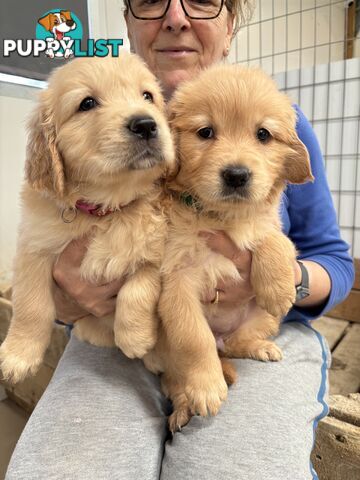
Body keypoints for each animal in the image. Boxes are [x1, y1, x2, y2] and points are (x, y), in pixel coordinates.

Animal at [0, 53, 174, 382]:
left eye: (148, 96)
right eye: (87, 103)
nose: (146, 124)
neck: (107, 209)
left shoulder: (160, 252)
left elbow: (138, 286)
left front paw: (135, 338)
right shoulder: (34, 248)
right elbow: (31, 305)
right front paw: (18, 355)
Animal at [143, 63, 312, 432]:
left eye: (263, 134)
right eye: (205, 132)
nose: (236, 175)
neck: (222, 218)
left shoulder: (269, 226)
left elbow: (275, 240)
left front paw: (278, 286)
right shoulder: (176, 282)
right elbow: (195, 339)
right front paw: (206, 388)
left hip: (262, 318)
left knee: (236, 343)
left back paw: (261, 347)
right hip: (161, 350)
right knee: (177, 375)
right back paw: (183, 406)